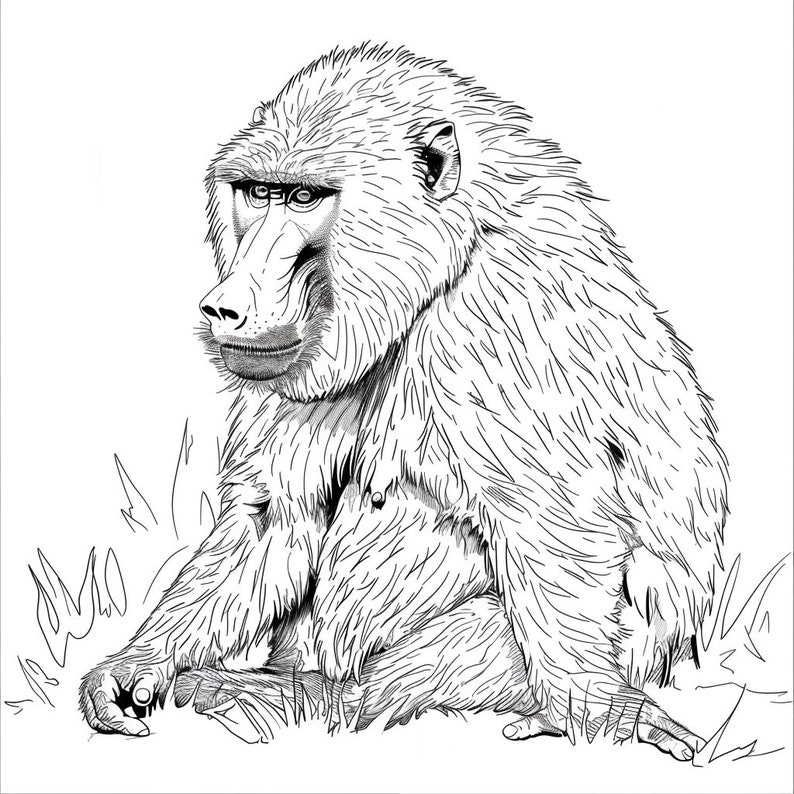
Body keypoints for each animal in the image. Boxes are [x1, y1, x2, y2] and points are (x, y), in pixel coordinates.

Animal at [79, 44, 727, 762]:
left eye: (305, 198)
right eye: (258, 193)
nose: (227, 304)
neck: (452, 256)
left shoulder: (490, 326)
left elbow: (558, 529)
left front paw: (602, 713)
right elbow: (275, 517)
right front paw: (136, 666)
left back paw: (300, 698)